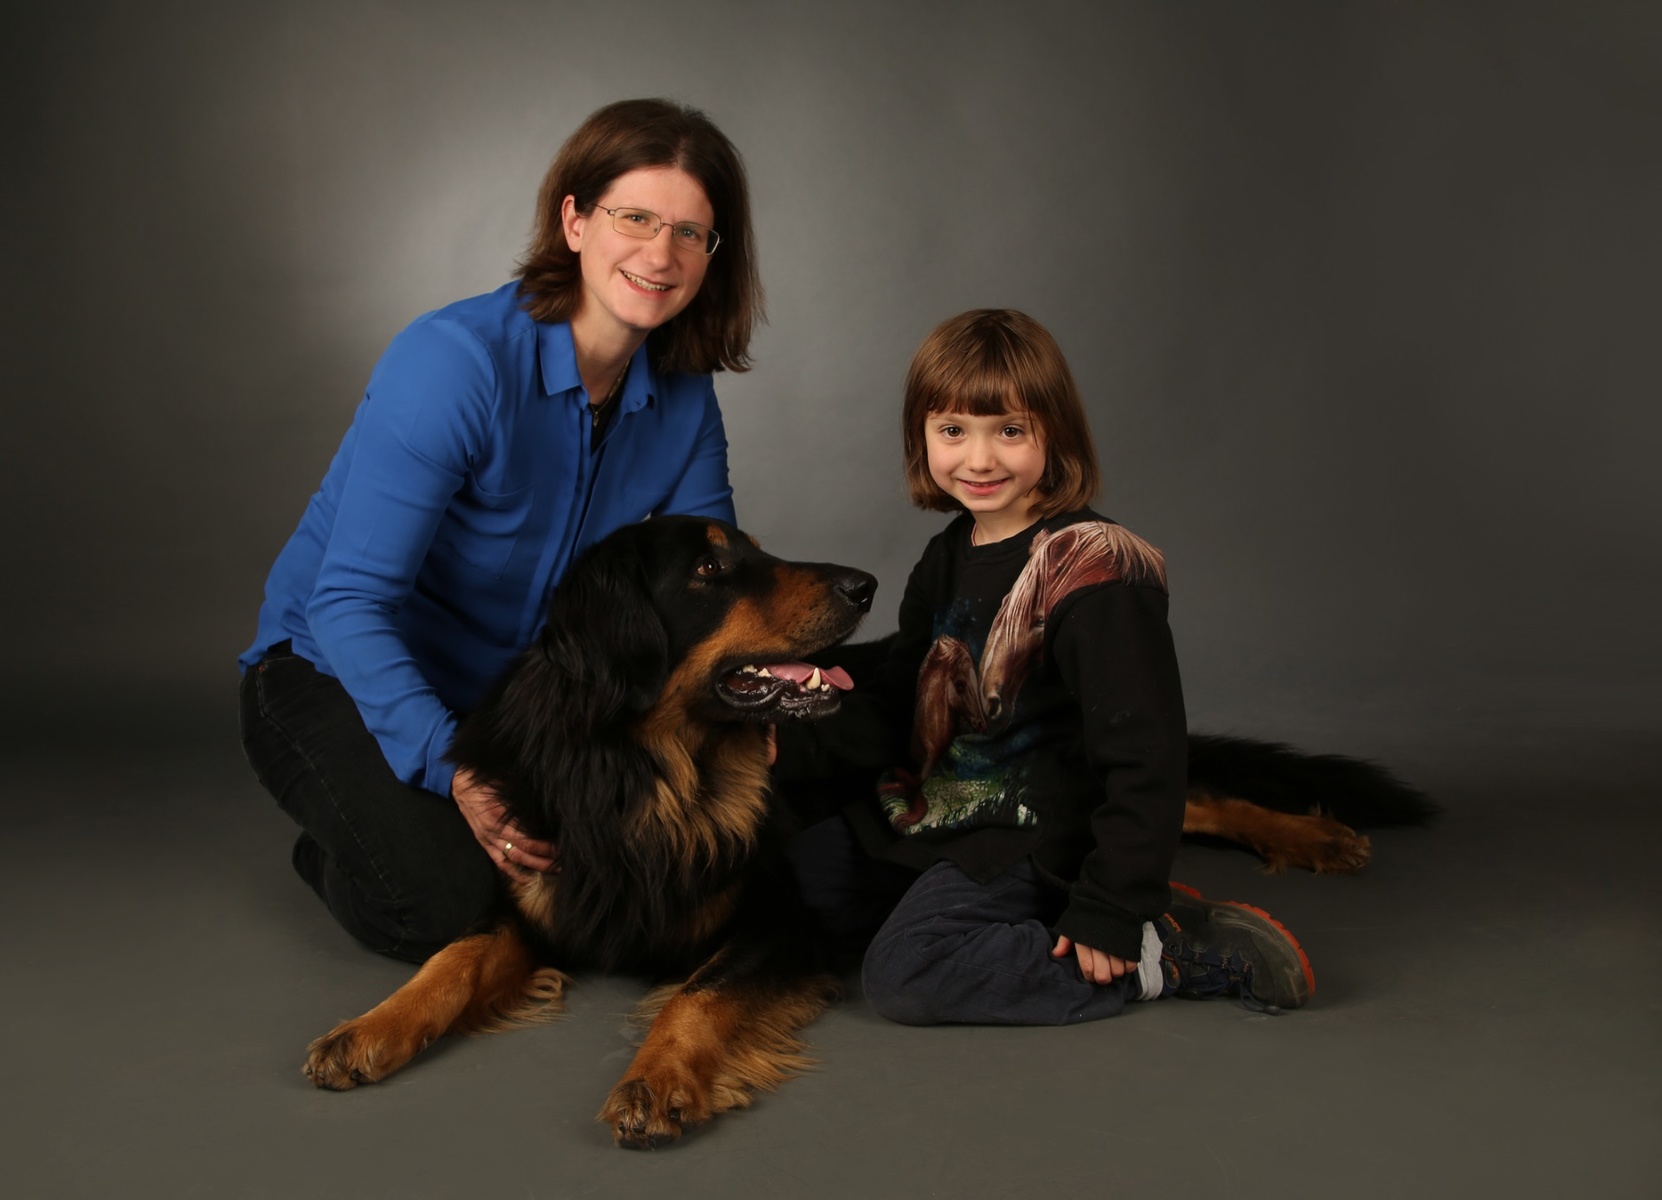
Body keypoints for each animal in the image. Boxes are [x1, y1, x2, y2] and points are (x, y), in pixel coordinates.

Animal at [299, 511, 1429, 1143]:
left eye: (755, 551)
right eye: (710, 570)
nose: (862, 585)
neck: (649, 772)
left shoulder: (781, 918)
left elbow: (697, 997)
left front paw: (657, 1079)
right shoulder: (540, 891)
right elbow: (453, 956)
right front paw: (369, 1028)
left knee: (1173, 793)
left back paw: (1307, 841)